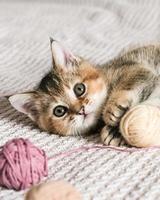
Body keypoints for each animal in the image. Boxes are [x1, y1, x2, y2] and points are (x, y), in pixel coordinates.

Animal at [9, 38, 160, 147]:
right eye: (59, 111)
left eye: (79, 89)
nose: (81, 110)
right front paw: (115, 132)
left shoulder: (139, 68)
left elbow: (131, 83)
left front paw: (112, 110)